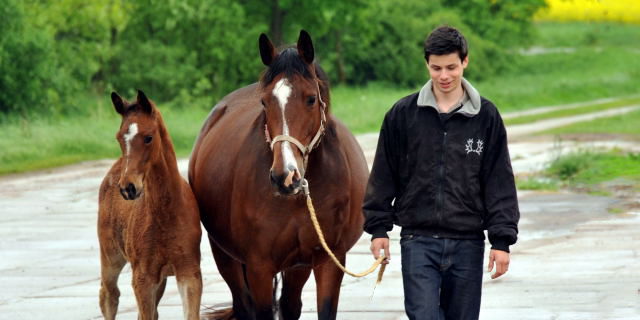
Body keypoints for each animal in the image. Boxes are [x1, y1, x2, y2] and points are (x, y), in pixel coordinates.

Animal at [97, 90, 201, 320]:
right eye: (119, 137)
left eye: (148, 137)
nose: (128, 188)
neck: (167, 212)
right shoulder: (143, 277)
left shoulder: (189, 272)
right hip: (110, 255)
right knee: (109, 295)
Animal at [188, 29, 368, 318]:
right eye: (264, 101)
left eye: (311, 98)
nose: (285, 177)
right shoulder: (259, 266)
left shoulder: (329, 261)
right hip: (224, 255)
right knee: (243, 304)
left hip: (298, 266)